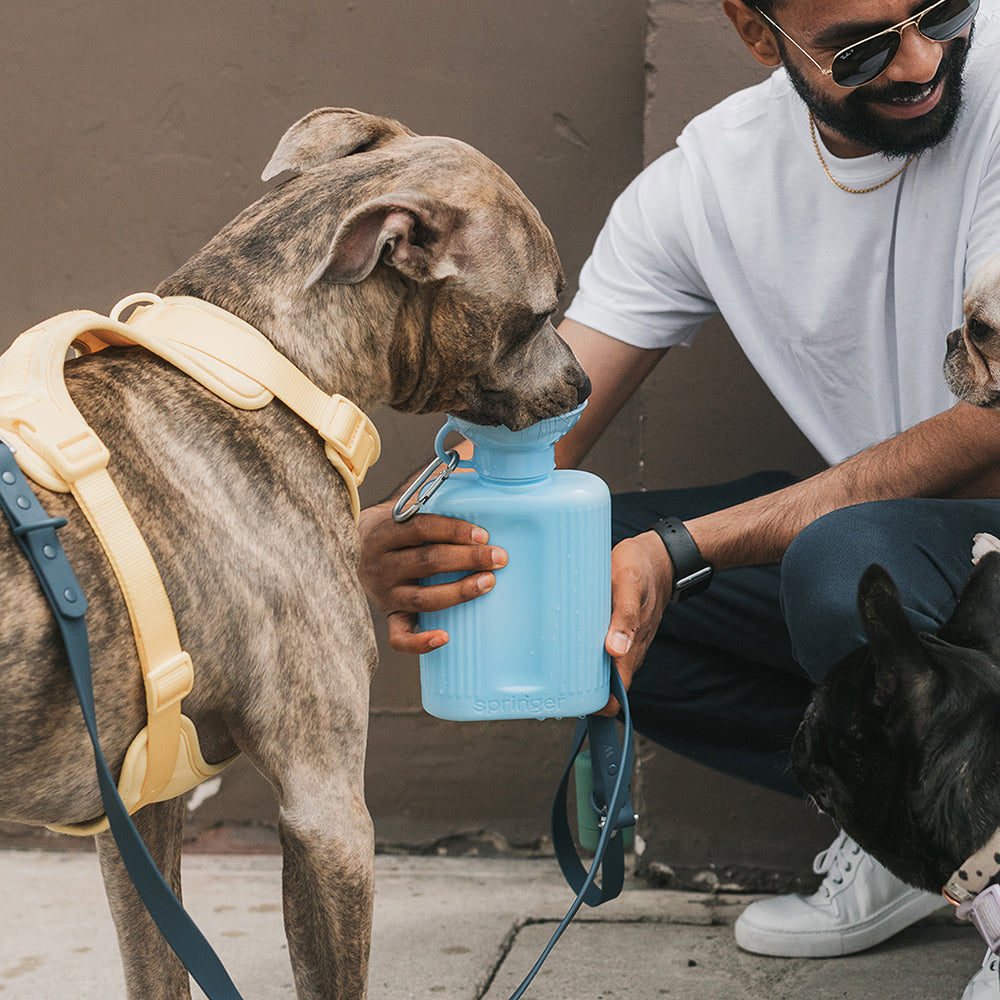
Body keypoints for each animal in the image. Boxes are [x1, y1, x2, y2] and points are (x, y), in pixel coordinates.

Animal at [0, 109, 588, 1000]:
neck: (263, 365)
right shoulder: (328, 814)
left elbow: (157, 967)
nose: (585, 382)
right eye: (542, 311)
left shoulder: (140, 808)